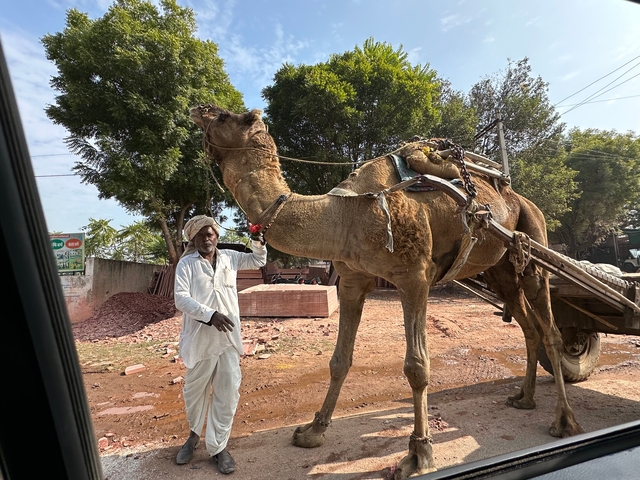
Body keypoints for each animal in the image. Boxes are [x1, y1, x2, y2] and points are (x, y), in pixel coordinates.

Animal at [189, 104, 583, 478]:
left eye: (226, 116)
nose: (199, 108)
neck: (346, 214)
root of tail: (516, 196)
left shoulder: (414, 277)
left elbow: (417, 366)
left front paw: (419, 454)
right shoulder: (351, 281)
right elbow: (339, 360)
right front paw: (313, 431)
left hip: (532, 237)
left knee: (549, 328)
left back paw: (564, 420)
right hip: (499, 269)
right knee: (528, 326)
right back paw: (524, 398)